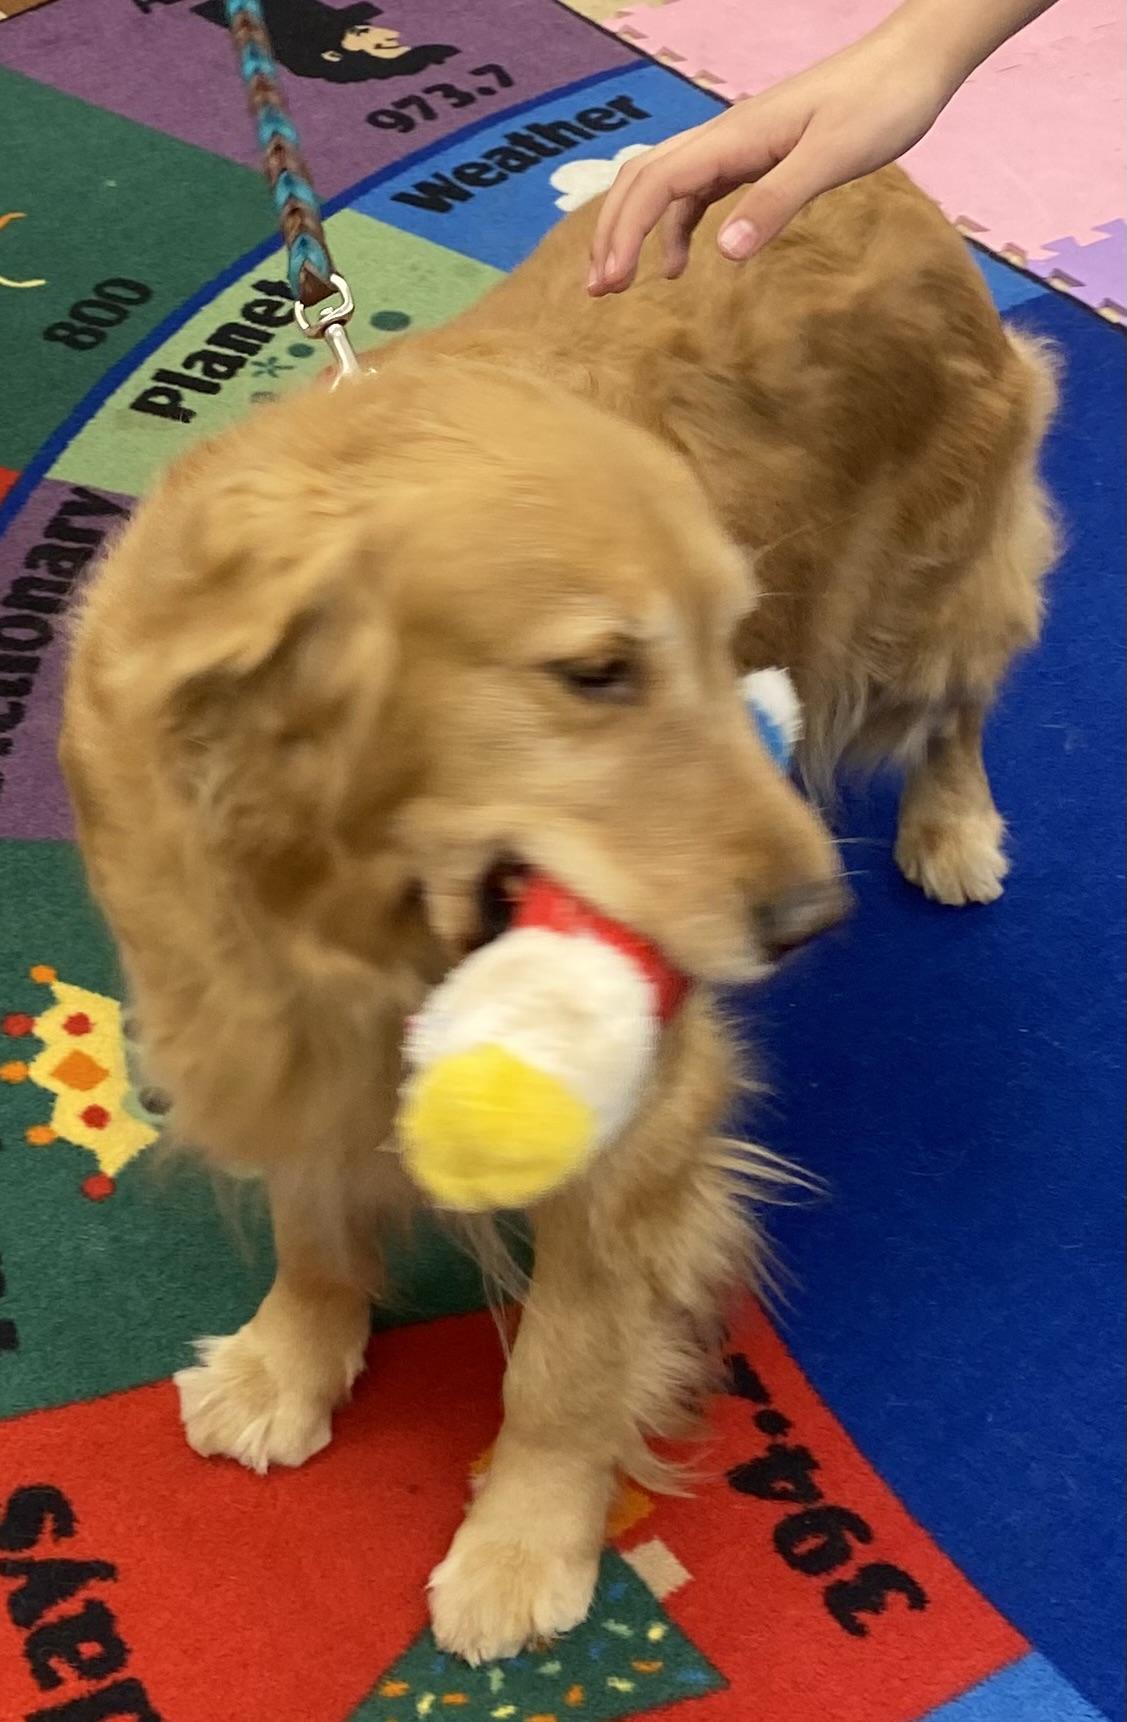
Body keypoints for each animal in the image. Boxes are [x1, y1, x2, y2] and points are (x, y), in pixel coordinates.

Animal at [62, 167, 1061, 1660]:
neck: (352, 900)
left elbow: (565, 1365)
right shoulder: (276, 1026)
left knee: (960, 700)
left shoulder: (644, 1118)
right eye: (595, 673)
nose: (810, 919)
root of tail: (882, 178)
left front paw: (522, 1543)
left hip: (922, 595)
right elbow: (315, 1224)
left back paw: (949, 824)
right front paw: (289, 1361)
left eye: (724, 640)